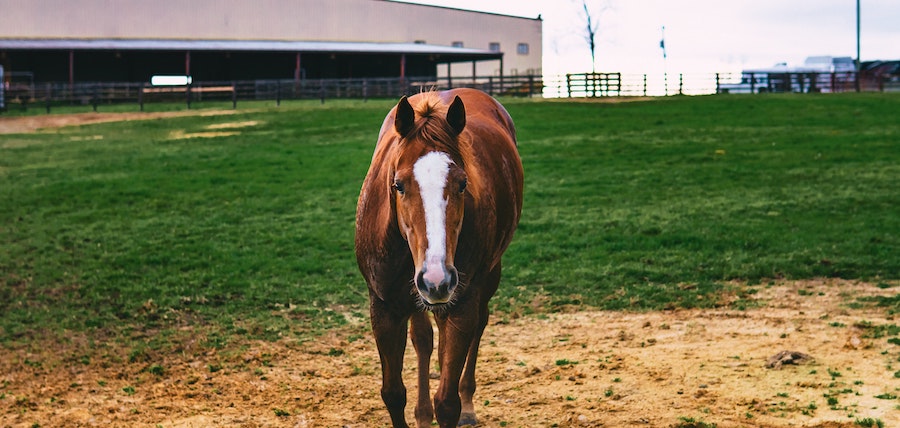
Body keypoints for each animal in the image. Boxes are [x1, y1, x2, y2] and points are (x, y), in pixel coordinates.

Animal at [355, 88, 523, 427]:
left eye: (462, 184)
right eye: (398, 184)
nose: (436, 279)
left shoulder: (460, 305)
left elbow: (447, 402)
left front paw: (455, 406)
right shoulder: (383, 308)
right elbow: (393, 393)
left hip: (487, 276)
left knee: (480, 323)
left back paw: (468, 404)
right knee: (423, 338)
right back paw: (422, 413)